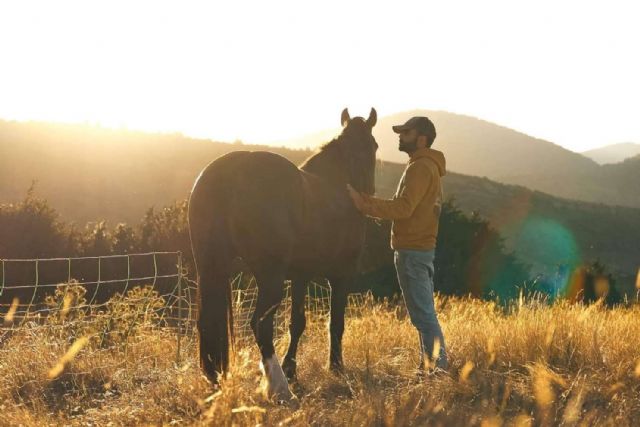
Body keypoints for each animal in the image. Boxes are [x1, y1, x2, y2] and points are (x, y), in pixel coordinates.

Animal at [190, 108, 378, 402]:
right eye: (374, 145)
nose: (368, 194)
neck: (337, 185)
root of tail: (229, 172)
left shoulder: (301, 276)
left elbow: (297, 323)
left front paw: (292, 370)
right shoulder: (341, 275)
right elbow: (336, 322)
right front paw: (335, 367)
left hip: (211, 268)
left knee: (207, 324)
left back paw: (216, 382)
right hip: (269, 278)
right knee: (261, 324)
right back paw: (279, 388)